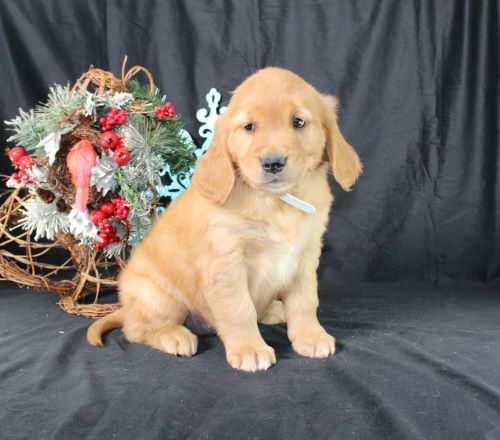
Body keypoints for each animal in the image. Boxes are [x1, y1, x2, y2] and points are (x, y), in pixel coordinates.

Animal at [88, 68, 362, 372]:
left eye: (298, 122)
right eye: (249, 127)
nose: (273, 163)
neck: (277, 202)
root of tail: (127, 307)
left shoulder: (305, 255)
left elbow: (305, 301)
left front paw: (310, 336)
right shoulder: (226, 263)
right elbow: (238, 309)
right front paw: (249, 348)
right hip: (160, 298)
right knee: (136, 328)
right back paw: (174, 335)